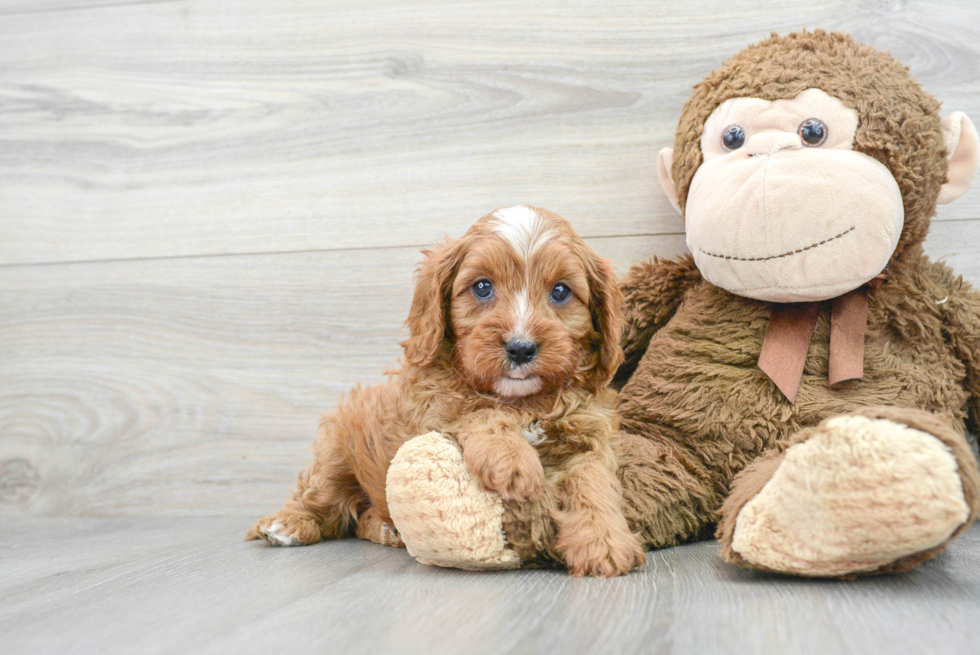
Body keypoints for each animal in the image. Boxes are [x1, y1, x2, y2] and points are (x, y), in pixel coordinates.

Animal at [247, 206, 644, 580]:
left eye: (560, 291)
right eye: (482, 287)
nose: (520, 348)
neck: (524, 401)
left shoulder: (589, 436)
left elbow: (593, 484)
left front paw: (605, 542)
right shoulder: (435, 409)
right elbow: (481, 411)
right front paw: (512, 460)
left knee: (361, 519)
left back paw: (387, 528)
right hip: (337, 450)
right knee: (321, 498)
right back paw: (287, 524)